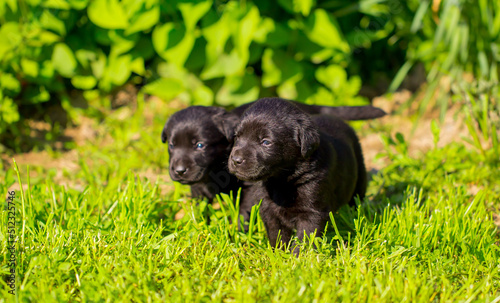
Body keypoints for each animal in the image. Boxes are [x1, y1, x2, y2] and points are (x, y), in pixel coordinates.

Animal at [162, 102, 376, 226]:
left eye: (200, 145)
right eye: (171, 145)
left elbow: (244, 210)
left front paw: (237, 231)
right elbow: (200, 207)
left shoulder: (250, 186)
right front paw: (198, 226)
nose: (179, 171)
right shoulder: (199, 187)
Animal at [229, 98, 366, 254]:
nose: (236, 160)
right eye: (237, 137)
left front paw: (298, 257)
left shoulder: (312, 212)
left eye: (266, 142)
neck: (282, 181)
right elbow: (277, 235)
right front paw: (279, 254)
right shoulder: (269, 209)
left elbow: (304, 238)